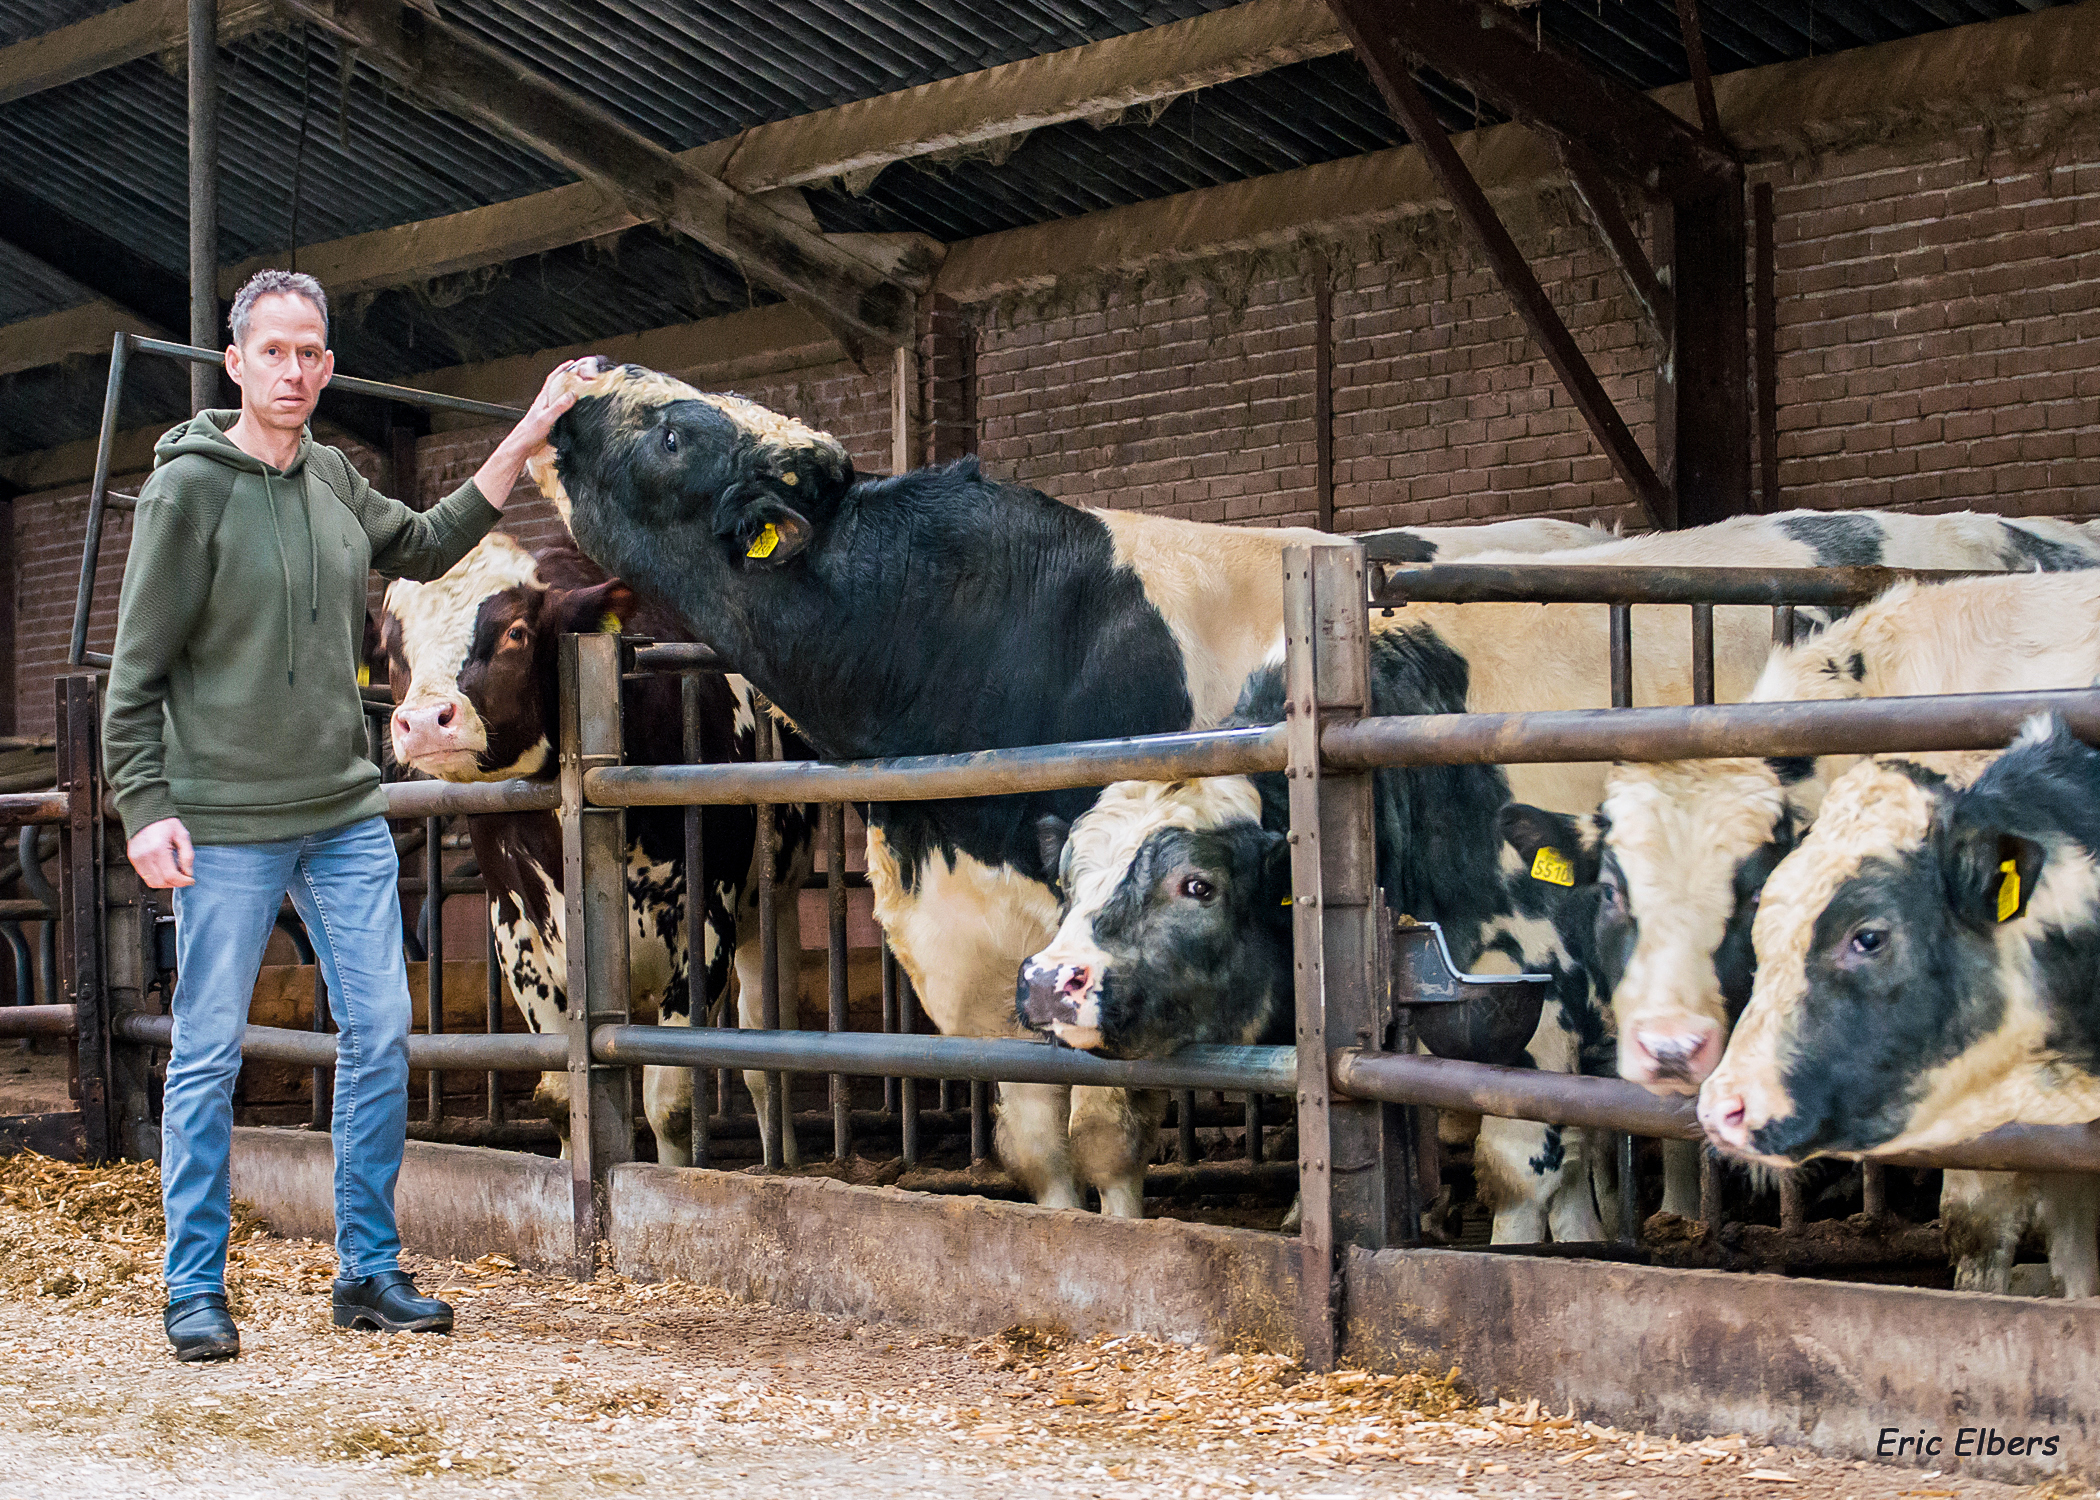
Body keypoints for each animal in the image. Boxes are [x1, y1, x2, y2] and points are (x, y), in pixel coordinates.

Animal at [382, 531, 806, 1159]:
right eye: (393, 651)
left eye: (515, 632)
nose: (425, 723)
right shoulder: (516, 930)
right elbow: (561, 1099)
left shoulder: (707, 918)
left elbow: (671, 1103)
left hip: (774, 901)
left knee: (764, 1056)